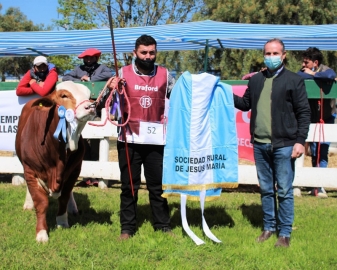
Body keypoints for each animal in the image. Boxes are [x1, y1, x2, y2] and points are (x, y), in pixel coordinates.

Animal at [15, 80, 94, 243]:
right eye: (64, 95)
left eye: (88, 95)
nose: (91, 106)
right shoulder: (31, 170)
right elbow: (41, 202)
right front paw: (41, 233)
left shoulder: (74, 170)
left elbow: (64, 197)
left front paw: (62, 222)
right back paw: (28, 203)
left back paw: (72, 207)